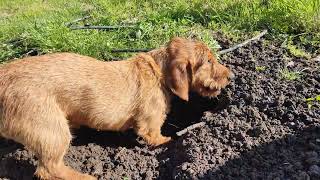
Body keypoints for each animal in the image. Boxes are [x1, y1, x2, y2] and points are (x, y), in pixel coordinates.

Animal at [0, 37, 235, 179]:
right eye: (208, 62)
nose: (231, 76)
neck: (157, 71)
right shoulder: (150, 124)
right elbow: (156, 137)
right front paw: (169, 142)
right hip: (53, 131)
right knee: (48, 169)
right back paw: (85, 176)